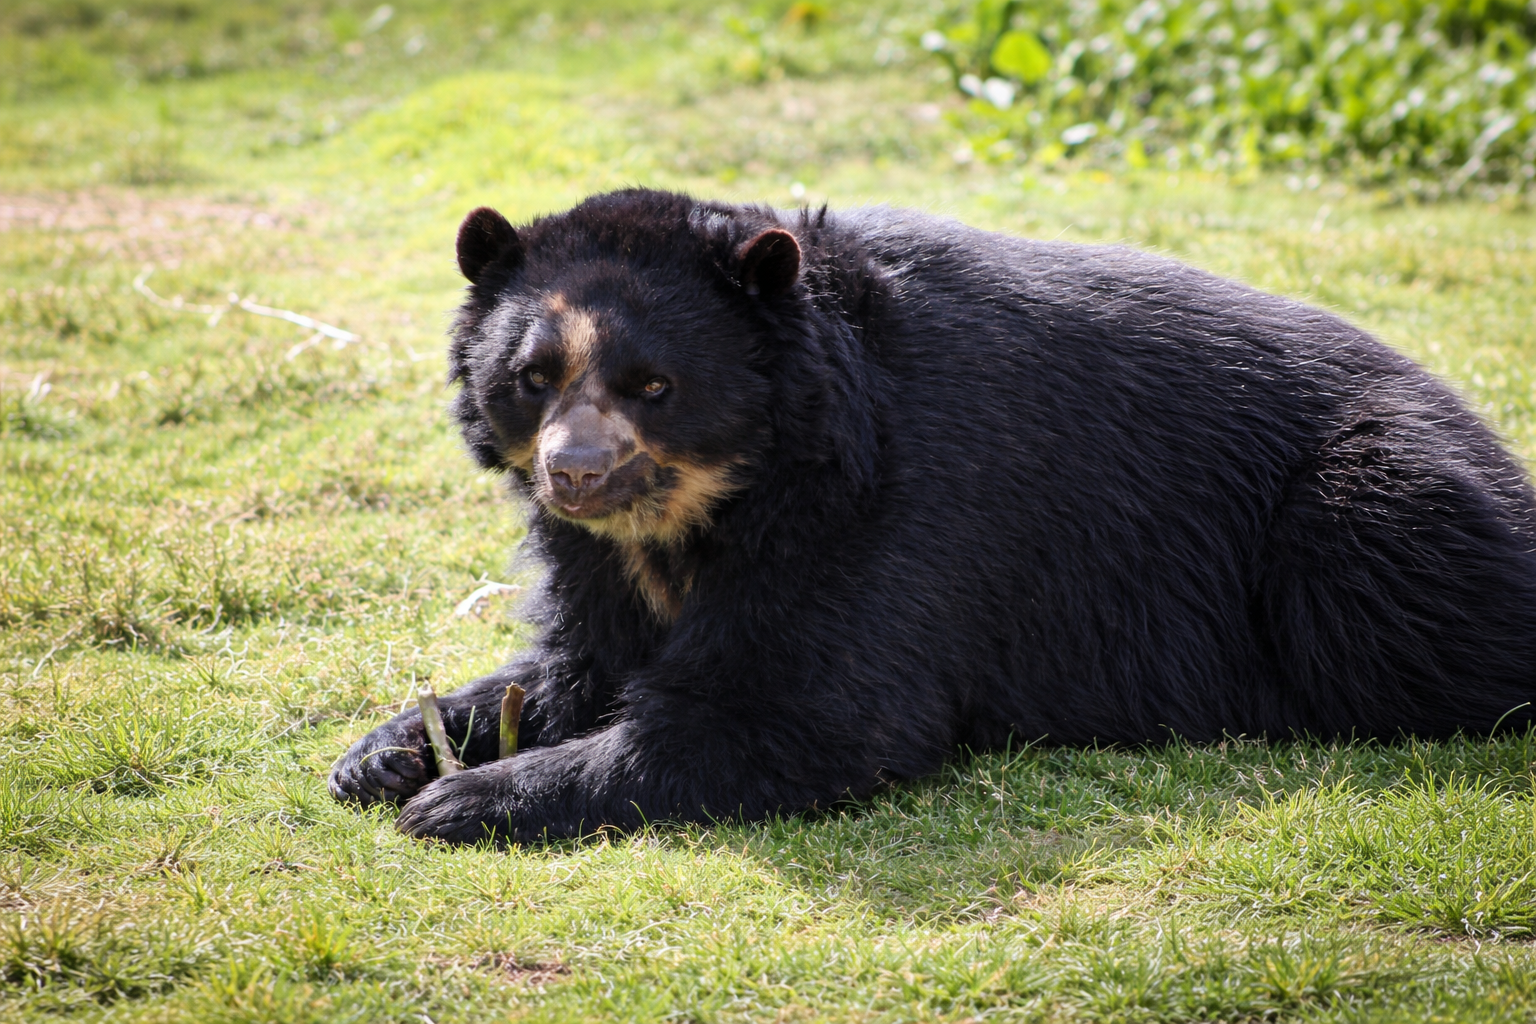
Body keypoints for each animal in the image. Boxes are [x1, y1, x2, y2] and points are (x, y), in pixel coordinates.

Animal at [329, 188, 1536, 844]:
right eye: (532, 378)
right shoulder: (603, 557)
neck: (728, 495)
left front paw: (465, 801)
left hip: (1371, 508)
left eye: (653, 384)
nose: (575, 473)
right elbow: (577, 665)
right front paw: (383, 757)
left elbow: (803, 712)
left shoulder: (900, 509)